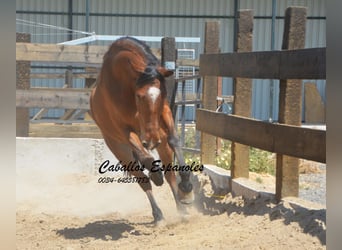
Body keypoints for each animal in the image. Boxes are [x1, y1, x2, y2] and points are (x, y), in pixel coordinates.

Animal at [89, 37, 194, 223]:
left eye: (161, 94)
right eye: (139, 95)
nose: (152, 140)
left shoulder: (165, 112)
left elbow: (174, 140)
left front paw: (187, 186)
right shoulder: (124, 130)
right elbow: (146, 157)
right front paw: (156, 175)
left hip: (160, 143)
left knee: (170, 175)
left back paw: (181, 208)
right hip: (120, 149)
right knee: (143, 179)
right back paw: (158, 214)